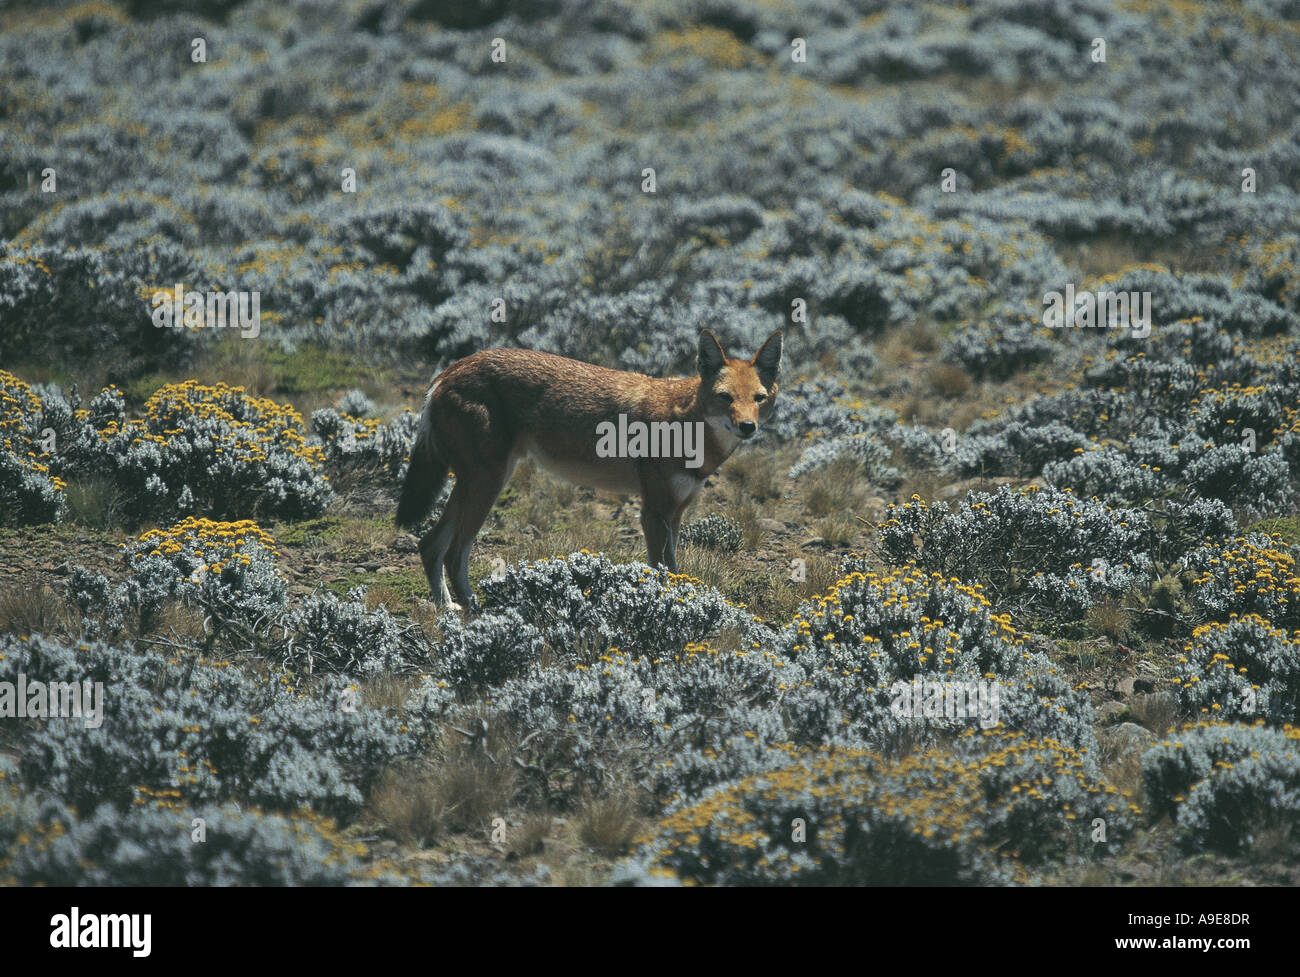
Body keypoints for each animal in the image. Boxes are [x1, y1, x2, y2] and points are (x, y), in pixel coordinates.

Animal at [395, 332, 780, 608]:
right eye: (725, 397)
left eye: (759, 398)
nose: (748, 427)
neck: (686, 423)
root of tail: (450, 369)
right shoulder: (652, 513)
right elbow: (662, 571)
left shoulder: (674, 513)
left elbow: (674, 569)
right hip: (487, 484)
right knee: (454, 553)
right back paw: (475, 613)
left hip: (480, 483)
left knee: (430, 545)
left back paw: (447, 608)